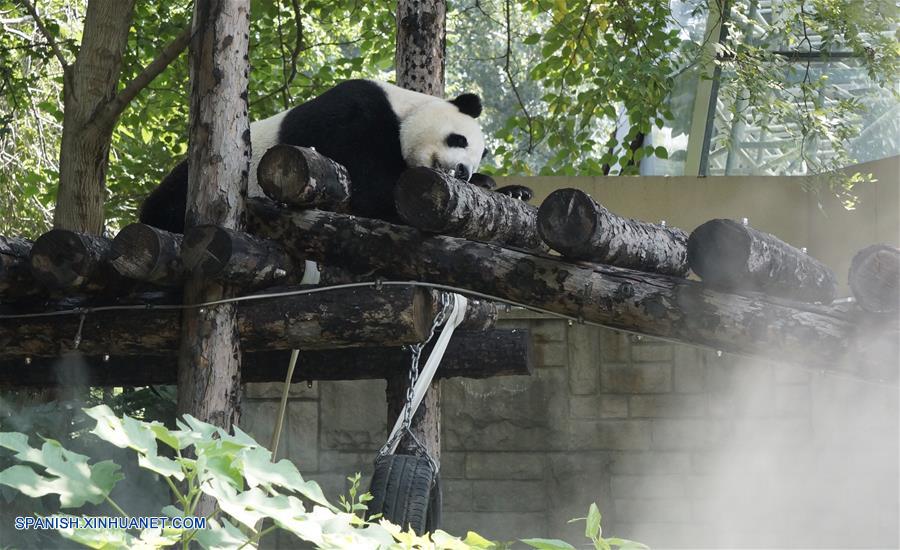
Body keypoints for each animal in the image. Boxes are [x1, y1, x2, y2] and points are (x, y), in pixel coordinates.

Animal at [137, 78, 524, 232]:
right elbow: (375, 188)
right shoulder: (352, 115)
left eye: (475, 163)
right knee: (167, 202)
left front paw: (508, 189)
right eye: (459, 139)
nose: (461, 172)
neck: (403, 108)